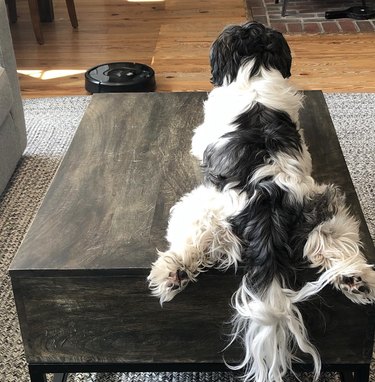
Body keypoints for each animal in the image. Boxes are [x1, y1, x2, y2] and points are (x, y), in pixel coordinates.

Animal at [147, 21, 375, 382]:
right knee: (330, 244)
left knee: (190, 242)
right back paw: (355, 280)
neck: (253, 71)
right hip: (324, 210)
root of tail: (268, 198)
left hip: (200, 207)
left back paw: (173, 272)